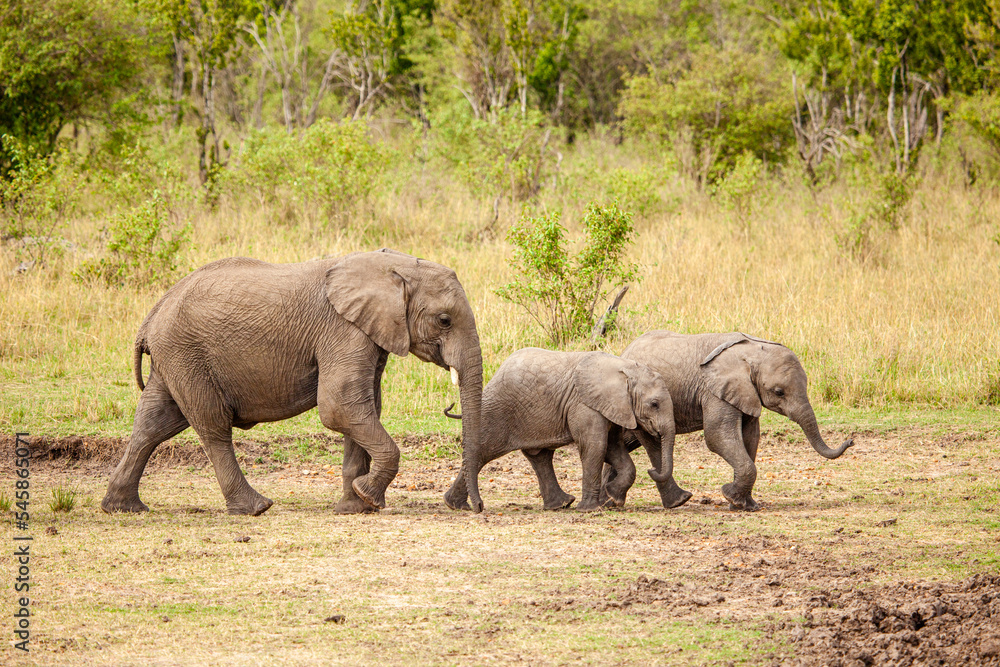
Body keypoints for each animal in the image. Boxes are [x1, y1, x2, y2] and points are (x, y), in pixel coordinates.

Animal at [101, 249, 484, 516]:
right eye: (445, 320)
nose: (475, 509)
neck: (393, 267)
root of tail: (150, 317)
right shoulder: (342, 329)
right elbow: (339, 405)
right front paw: (368, 497)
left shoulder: (368, 332)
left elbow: (363, 406)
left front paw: (354, 508)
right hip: (186, 355)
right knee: (212, 427)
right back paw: (255, 508)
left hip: (174, 359)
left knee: (153, 424)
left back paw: (123, 507)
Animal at [442, 348, 676, 512]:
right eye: (654, 404)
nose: (652, 470)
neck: (625, 368)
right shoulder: (584, 404)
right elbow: (595, 447)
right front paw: (590, 509)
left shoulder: (613, 408)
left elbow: (613, 448)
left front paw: (613, 498)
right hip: (498, 412)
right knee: (484, 452)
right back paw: (458, 505)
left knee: (540, 457)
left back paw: (561, 504)